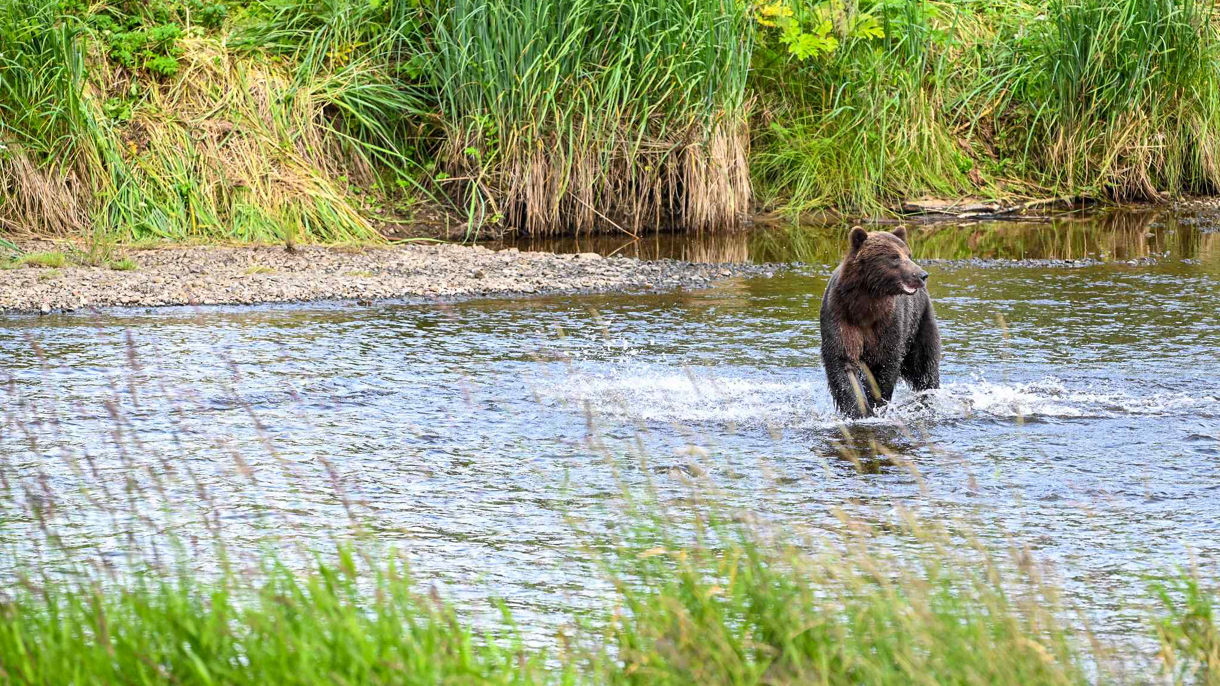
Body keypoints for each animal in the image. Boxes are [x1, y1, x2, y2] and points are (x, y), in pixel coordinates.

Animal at [819, 226, 940, 417]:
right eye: (895, 257)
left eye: (909, 254)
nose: (922, 275)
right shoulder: (841, 317)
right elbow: (843, 363)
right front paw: (858, 410)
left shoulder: (889, 323)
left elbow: (886, 364)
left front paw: (877, 403)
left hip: (920, 322)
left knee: (925, 365)